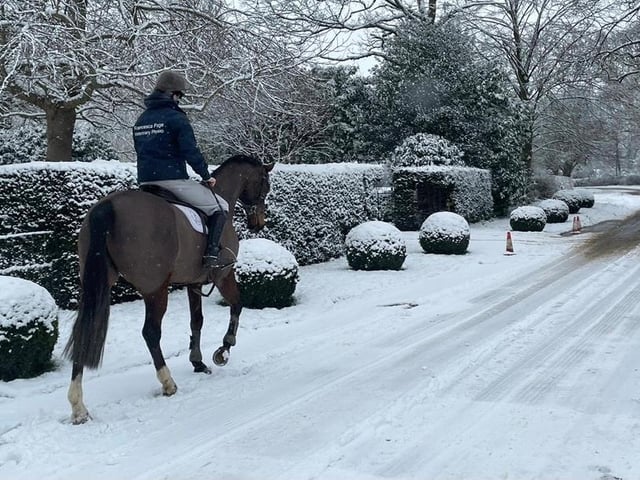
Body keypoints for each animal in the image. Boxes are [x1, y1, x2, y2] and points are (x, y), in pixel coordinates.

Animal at [63, 155, 273, 424]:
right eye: (265, 184)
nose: (259, 223)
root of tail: (108, 206)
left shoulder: (194, 283)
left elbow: (197, 321)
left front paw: (198, 362)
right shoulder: (224, 275)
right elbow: (237, 305)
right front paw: (223, 350)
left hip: (94, 284)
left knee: (83, 330)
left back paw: (78, 405)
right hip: (156, 289)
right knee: (151, 333)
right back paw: (168, 382)